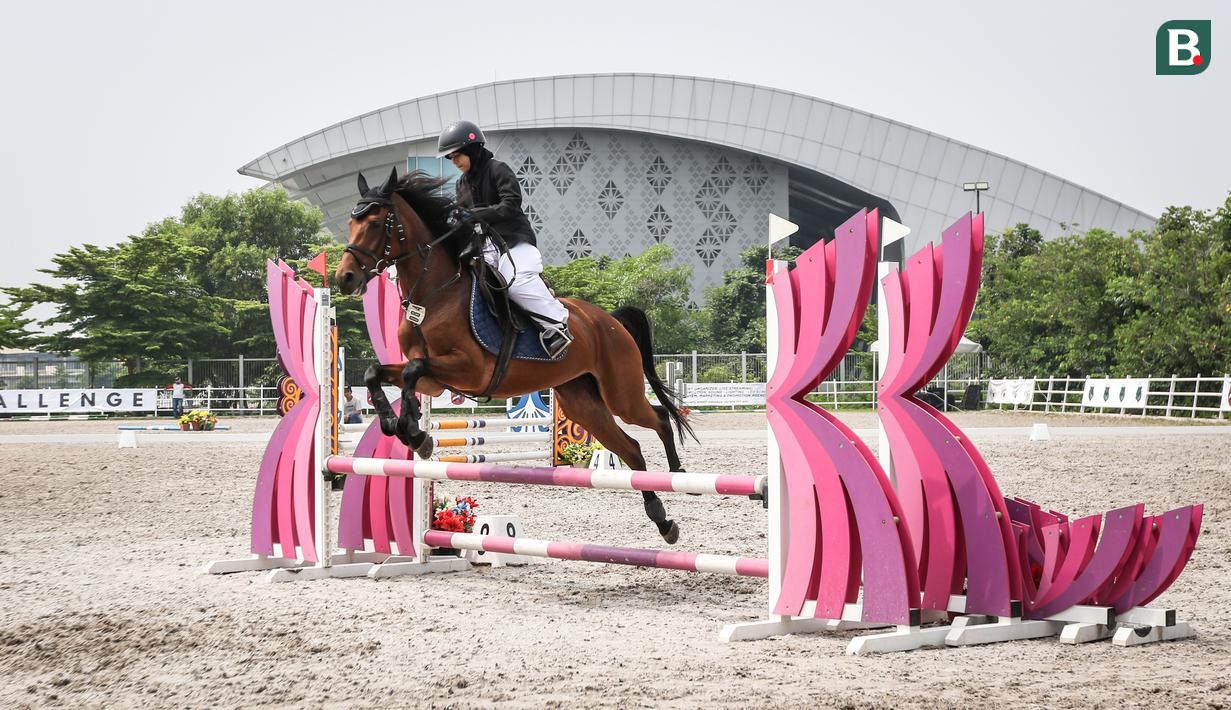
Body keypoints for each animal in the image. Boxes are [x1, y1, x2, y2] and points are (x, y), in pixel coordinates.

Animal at [334, 168, 696, 544]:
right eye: (351, 222)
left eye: (376, 223)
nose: (344, 278)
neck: (435, 295)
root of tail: (610, 320)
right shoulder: (434, 381)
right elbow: (377, 373)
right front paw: (404, 428)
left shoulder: (469, 369)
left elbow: (411, 372)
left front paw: (415, 433)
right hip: (583, 404)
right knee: (632, 448)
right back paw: (663, 521)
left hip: (620, 393)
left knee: (658, 418)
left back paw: (679, 474)